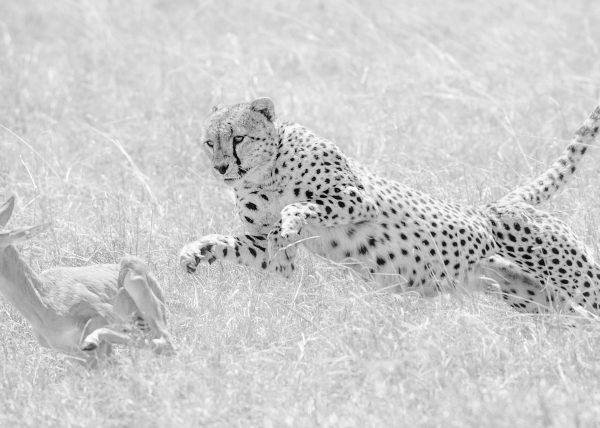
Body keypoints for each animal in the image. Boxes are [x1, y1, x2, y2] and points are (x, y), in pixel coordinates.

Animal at [182, 98, 600, 312]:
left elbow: (302, 207)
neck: (265, 173)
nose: (221, 167)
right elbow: (233, 244)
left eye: (238, 138)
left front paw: (292, 218)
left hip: (578, 283)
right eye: (209, 143)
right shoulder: (270, 250)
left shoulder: (355, 198)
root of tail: (498, 206)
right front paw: (196, 251)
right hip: (532, 298)